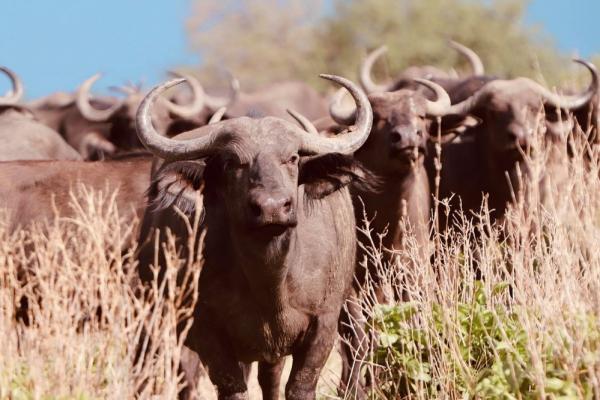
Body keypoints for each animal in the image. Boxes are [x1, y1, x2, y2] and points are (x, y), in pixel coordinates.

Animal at [136, 73, 376, 398]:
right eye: (231, 162)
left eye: (292, 158)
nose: (272, 207)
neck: (270, 281)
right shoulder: (208, 331)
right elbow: (233, 388)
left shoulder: (322, 325)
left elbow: (299, 386)